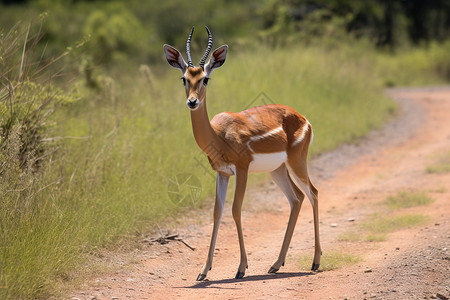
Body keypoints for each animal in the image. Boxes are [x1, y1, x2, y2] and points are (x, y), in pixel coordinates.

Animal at [163, 25, 322, 282]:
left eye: (205, 78)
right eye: (184, 78)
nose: (192, 102)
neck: (219, 135)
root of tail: (303, 118)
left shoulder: (242, 169)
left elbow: (236, 210)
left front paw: (241, 268)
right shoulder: (222, 173)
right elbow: (217, 212)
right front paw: (203, 272)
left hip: (297, 163)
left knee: (313, 193)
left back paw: (315, 262)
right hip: (277, 170)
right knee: (296, 199)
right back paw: (275, 265)